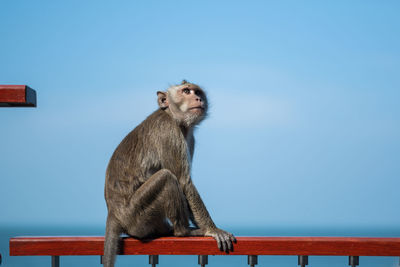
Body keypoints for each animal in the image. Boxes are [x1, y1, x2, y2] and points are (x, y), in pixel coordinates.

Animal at [103, 80, 236, 266]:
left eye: (197, 92)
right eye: (186, 91)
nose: (198, 98)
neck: (173, 116)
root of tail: (113, 213)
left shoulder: (189, 138)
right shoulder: (169, 132)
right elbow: (184, 182)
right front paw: (212, 229)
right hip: (136, 216)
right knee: (166, 177)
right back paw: (183, 231)